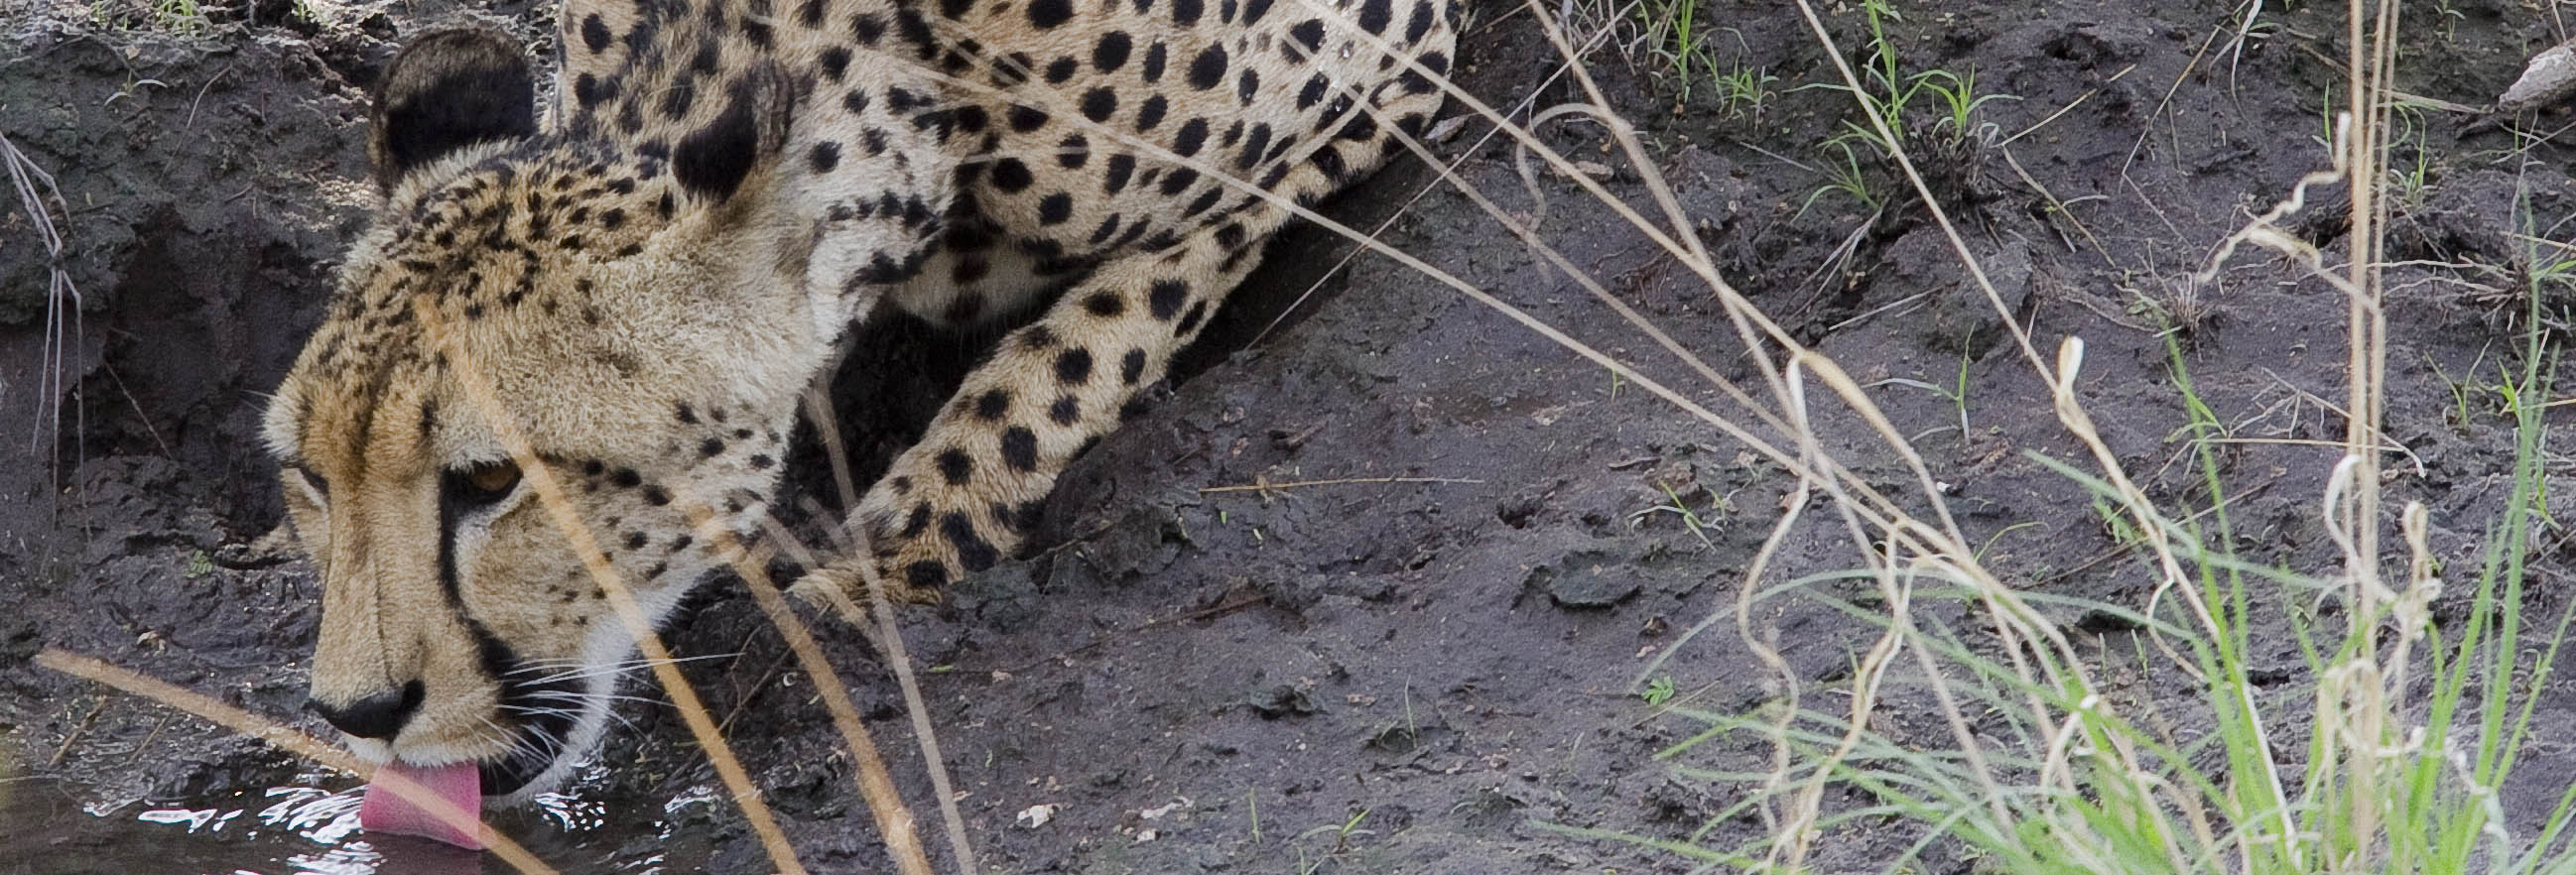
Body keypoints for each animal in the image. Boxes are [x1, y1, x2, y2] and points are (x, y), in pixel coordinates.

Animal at [271, 0, 1463, 798]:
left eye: (490, 480)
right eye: (308, 477)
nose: (359, 714)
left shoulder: (1389, 66)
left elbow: (1087, 339)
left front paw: (895, 557)